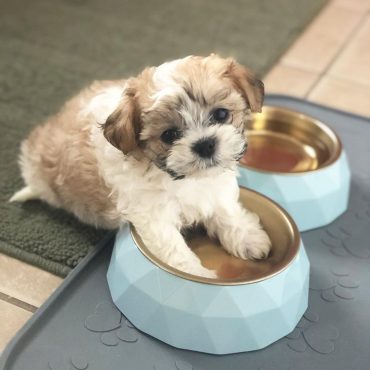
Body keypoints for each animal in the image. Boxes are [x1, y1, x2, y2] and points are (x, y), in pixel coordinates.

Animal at [10, 53, 270, 276]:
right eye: (169, 135)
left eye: (221, 114)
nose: (205, 144)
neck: (181, 177)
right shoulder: (152, 213)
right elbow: (173, 247)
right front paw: (192, 275)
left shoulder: (215, 189)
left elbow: (227, 211)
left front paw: (248, 237)